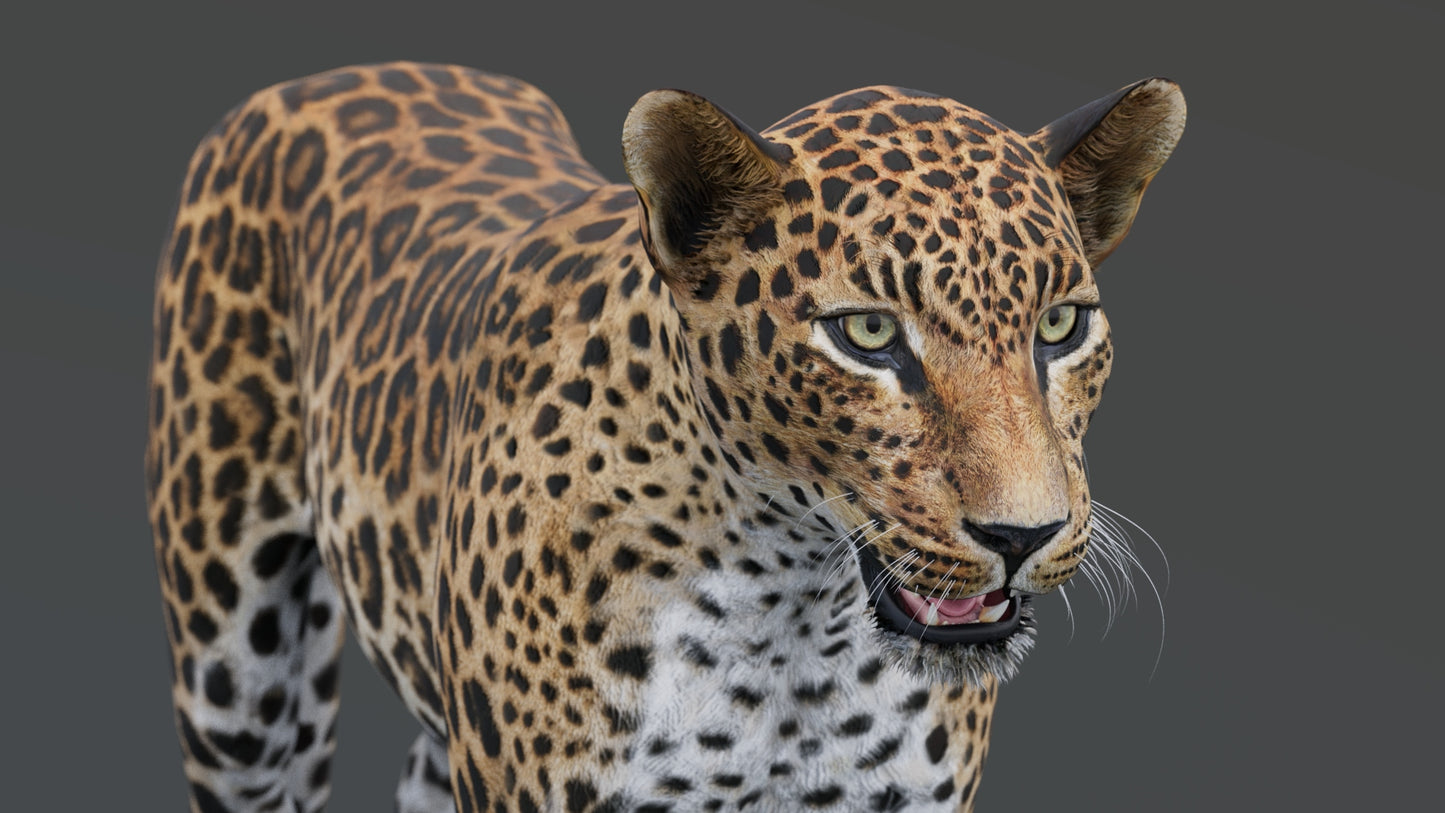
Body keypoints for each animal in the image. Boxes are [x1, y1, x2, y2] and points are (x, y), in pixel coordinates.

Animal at [146, 61, 1184, 812]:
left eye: (1060, 326)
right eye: (867, 334)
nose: (1022, 536)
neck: (791, 618)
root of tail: (335, 75)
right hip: (236, 679)